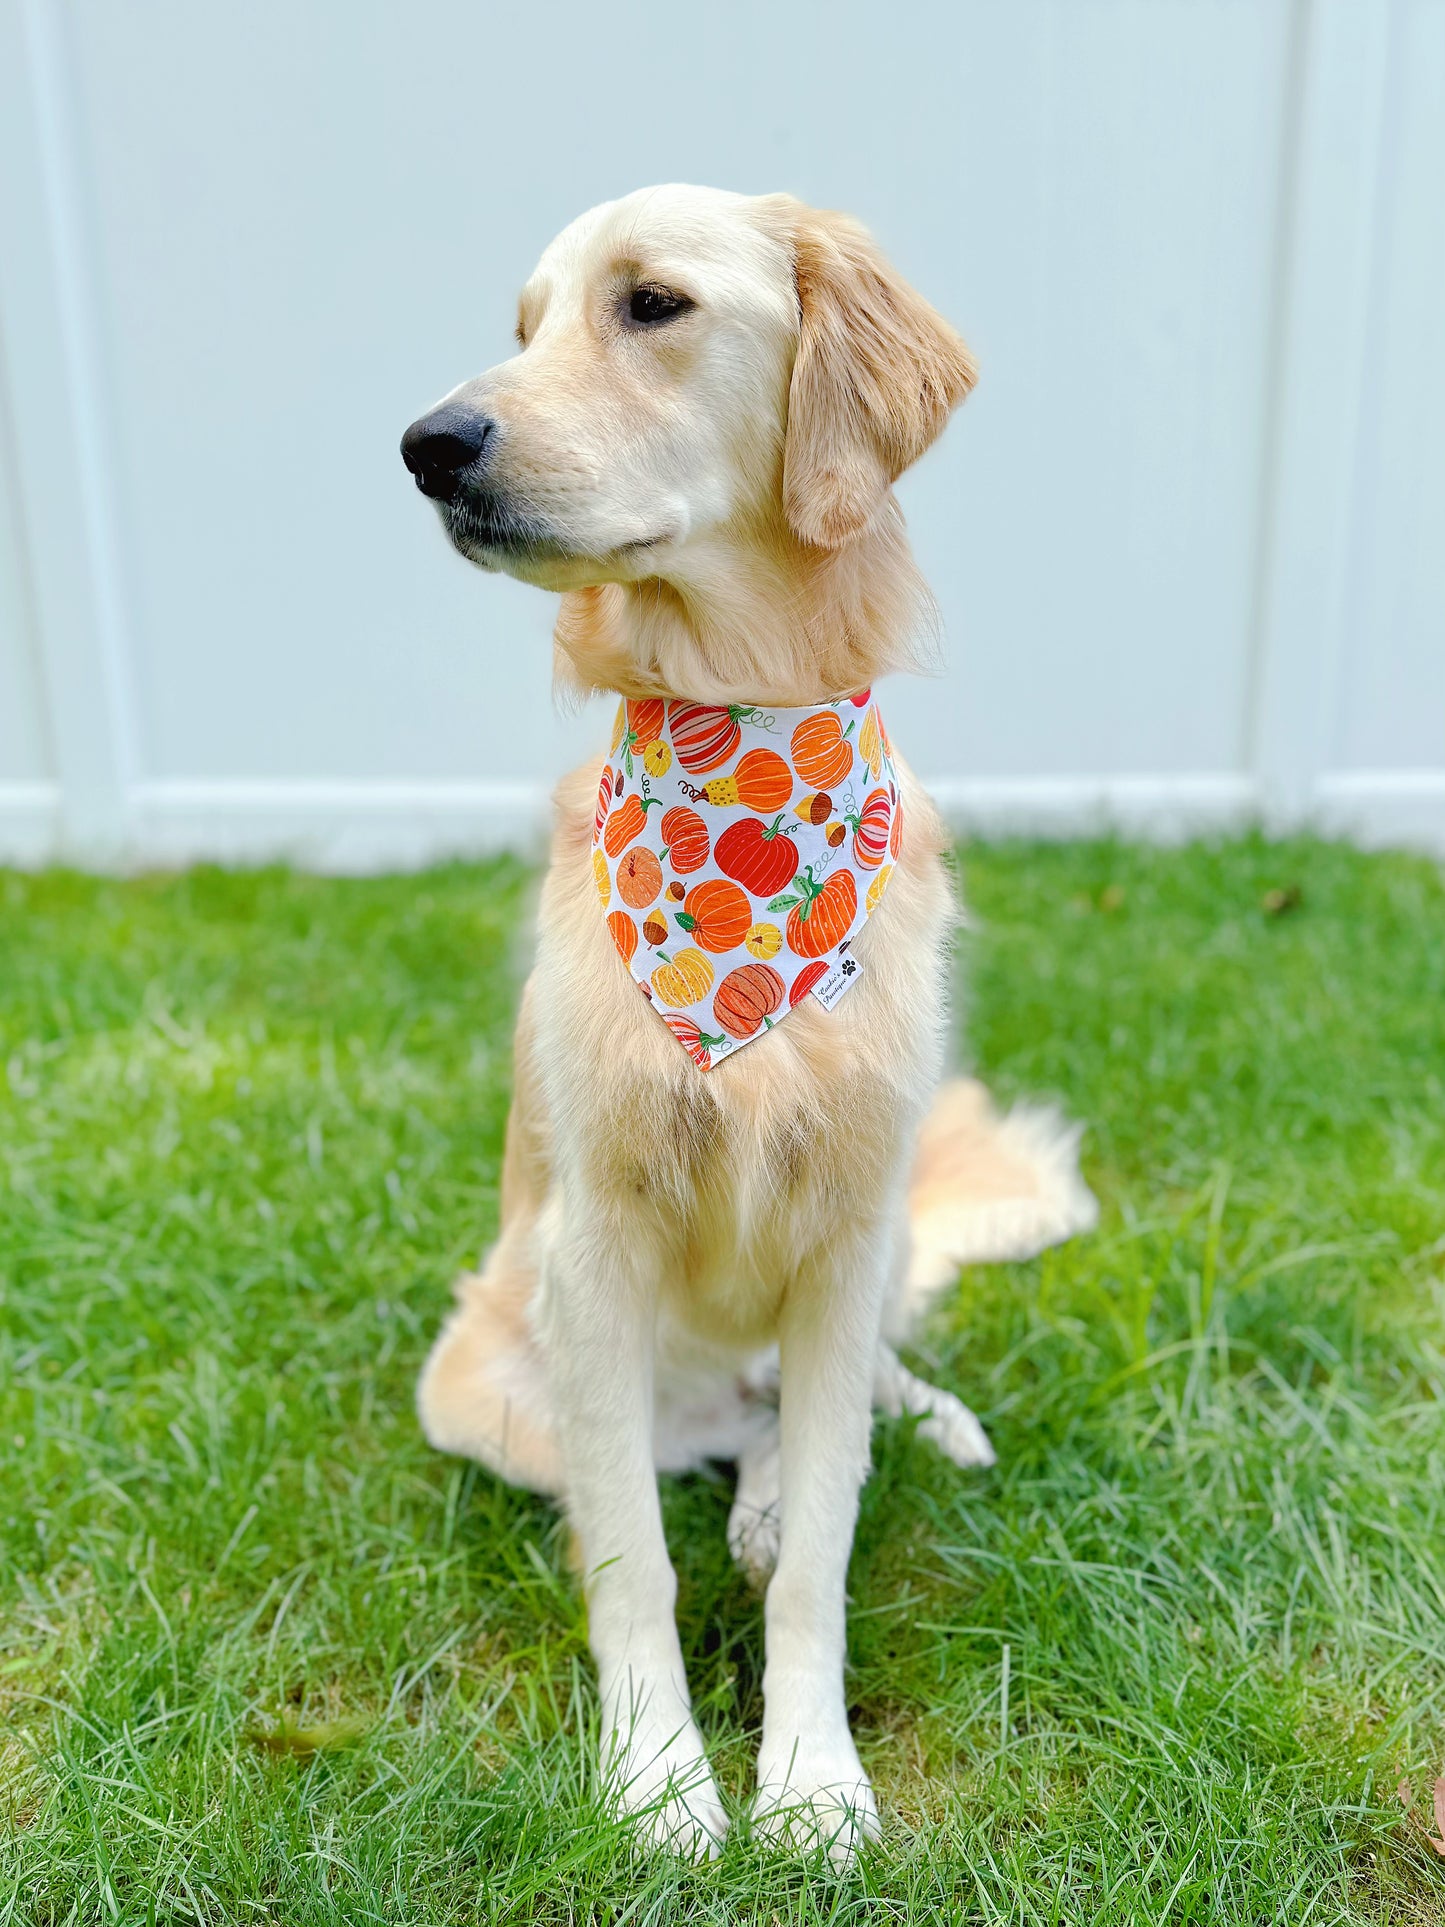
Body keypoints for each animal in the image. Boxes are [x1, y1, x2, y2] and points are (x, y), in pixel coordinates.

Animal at [398, 187, 1094, 1857]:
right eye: (524, 326)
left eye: (650, 304)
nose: (428, 443)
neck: (744, 745)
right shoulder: (593, 1246)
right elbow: (631, 1557)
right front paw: (657, 1777)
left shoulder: (846, 1232)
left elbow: (825, 1556)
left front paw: (814, 1777)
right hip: (481, 1377)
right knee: (667, 1464)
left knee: (833, 1413)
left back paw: (879, 1443)